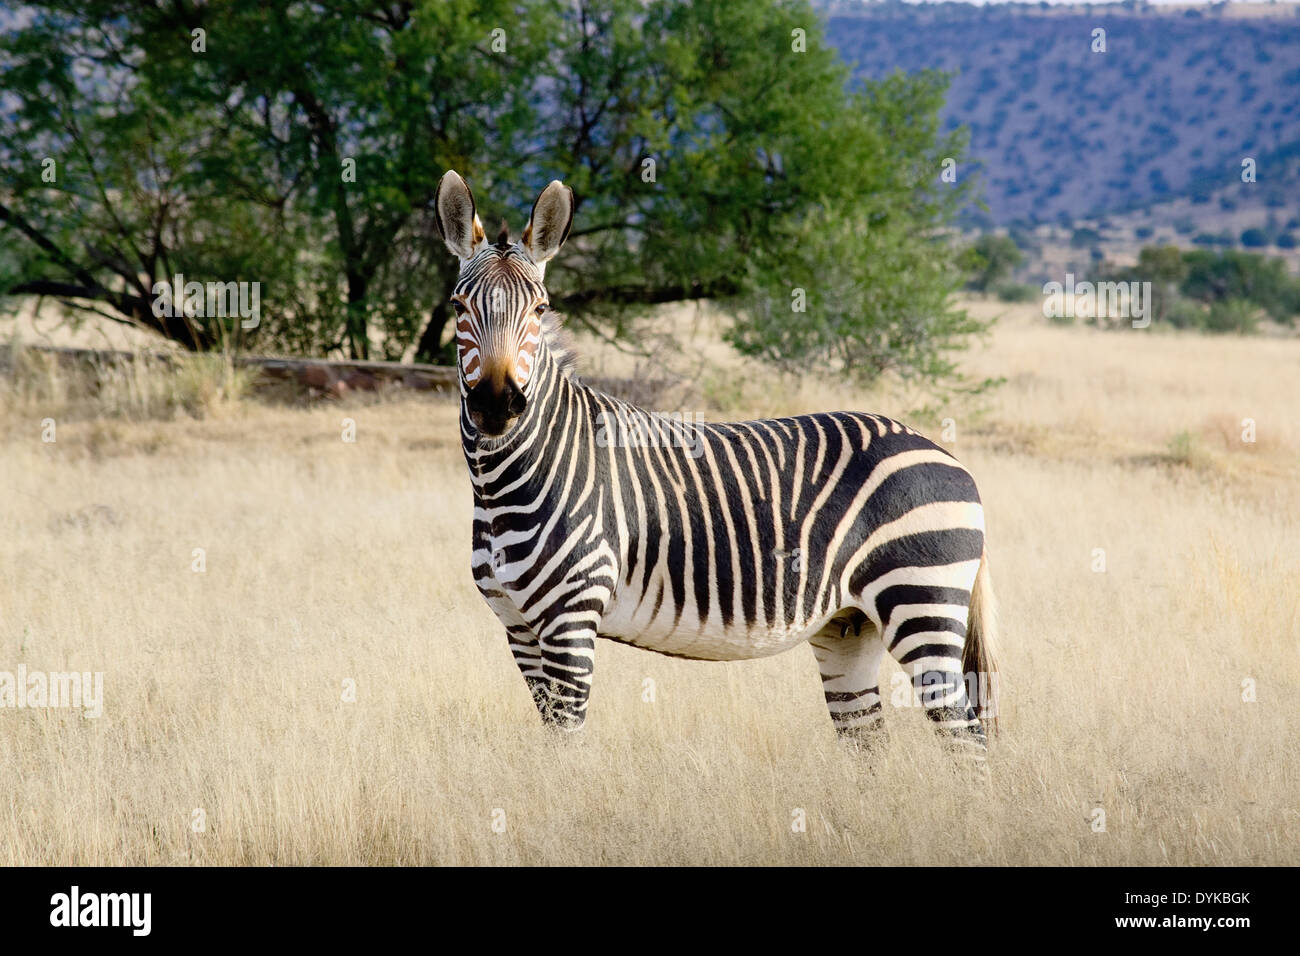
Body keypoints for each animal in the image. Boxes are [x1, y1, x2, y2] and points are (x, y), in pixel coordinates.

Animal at [435, 170, 1000, 755]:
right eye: (457, 307)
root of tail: (945, 454)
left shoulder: (572, 618)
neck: (502, 486)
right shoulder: (518, 627)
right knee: (869, 739)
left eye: (540, 310)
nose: (496, 405)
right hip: (849, 624)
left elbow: (564, 746)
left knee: (967, 739)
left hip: (922, 603)